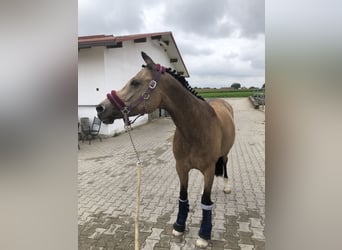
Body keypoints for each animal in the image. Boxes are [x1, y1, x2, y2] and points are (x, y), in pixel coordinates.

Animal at [96, 51, 235, 248]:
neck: (196, 128)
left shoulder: (208, 169)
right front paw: (179, 226)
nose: (100, 108)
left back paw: (227, 186)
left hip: (225, 154)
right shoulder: (181, 168)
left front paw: (203, 235)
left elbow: (206, 201)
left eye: (135, 82)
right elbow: (183, 196)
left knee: (224, 166)